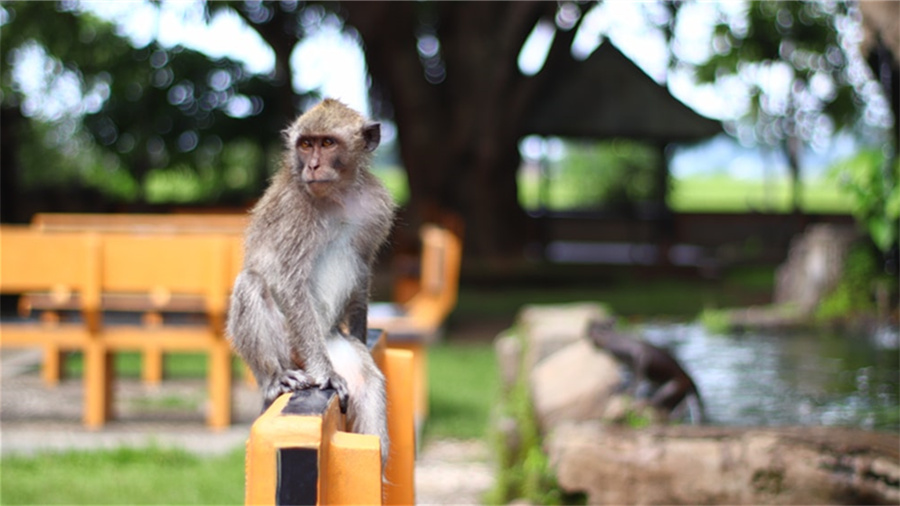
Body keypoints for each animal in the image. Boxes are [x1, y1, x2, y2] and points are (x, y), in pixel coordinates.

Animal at [227, 99, 396, 466]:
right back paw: (276, 377)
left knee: (366, 385)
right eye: (306, 145)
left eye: (327, 143)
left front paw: (362, 333)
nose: (313, 165)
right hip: (296, 344)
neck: (338, 196)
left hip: (329, 342)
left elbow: (363, 270)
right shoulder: (295, 211)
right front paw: (327, 376)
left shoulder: (377, 206)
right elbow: (290, 282)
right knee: (252, 283)